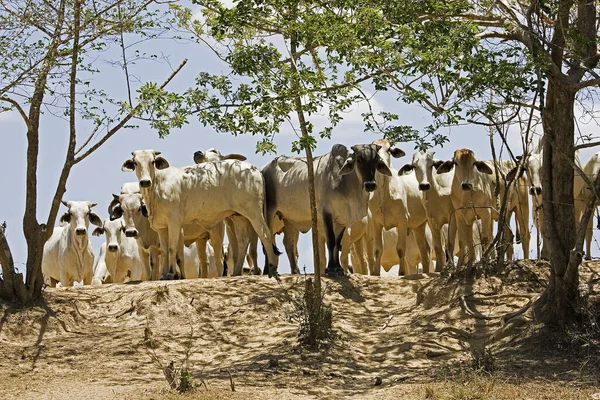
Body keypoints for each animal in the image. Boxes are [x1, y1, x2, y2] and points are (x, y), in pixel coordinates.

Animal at [122, 149, 282, 278]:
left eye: (153, 162)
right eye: (135, 163)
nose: (145, 182)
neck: (158, 185)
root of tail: (255, 169)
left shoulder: (174, 222)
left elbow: (172, 248)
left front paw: (171, 274)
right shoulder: (161, 227)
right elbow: (165, 251)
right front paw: (165, 274)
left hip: (253, 212)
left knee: (265, 234)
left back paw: (272, 268)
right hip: (238, 216)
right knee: (243, 241)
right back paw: (236, 272)